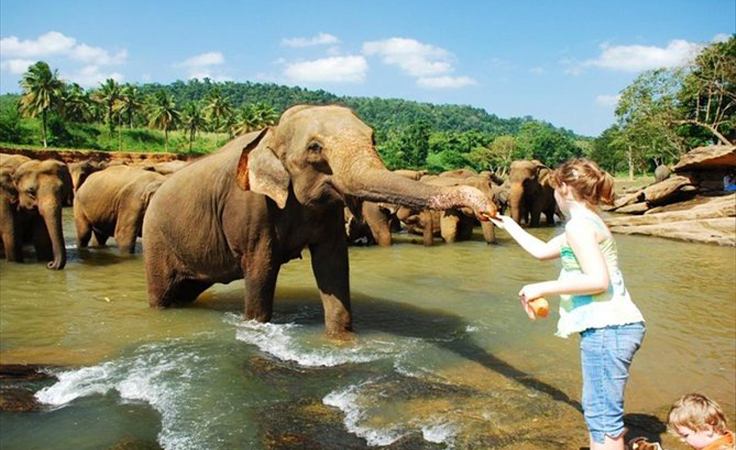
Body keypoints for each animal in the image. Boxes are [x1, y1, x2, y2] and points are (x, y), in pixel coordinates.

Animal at [142, 104, 496, 336]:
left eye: (373, 139)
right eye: (314, 148)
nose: (489, 207)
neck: (272, 132)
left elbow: (332, 265)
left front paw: (340, 339)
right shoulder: (251, 208)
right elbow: (261, 269)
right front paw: (256, 327)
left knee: (185, 291)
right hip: (156, 240)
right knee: (162, 295)